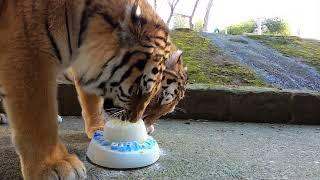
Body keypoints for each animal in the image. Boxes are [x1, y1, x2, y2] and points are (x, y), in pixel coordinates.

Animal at [0, 0, 178, 179]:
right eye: (139, 90)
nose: (134, 121)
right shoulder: (29, 53)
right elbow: (37, 117)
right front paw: (53, 165)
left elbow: (92, 103)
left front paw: (97, 129)